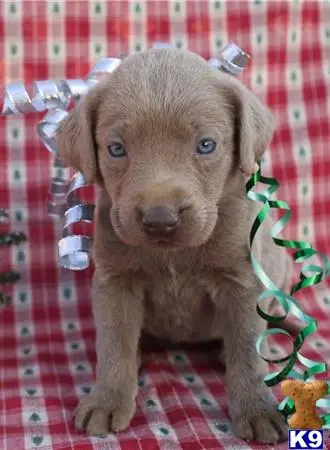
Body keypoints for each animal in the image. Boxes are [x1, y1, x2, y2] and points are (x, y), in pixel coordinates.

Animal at [56, 48, 288, 442]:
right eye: (116, 149)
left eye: (206, 145)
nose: (160, 218)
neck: (172, 256)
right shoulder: (115, 283)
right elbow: (114, 344)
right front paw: (107, 400)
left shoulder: (242, 283)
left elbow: (247, 349)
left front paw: (257, 409)